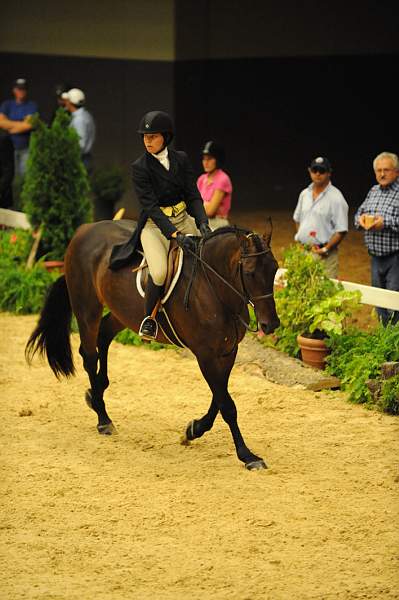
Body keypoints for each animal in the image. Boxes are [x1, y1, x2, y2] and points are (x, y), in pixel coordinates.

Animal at [25, 220, 282, 468]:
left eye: (274, 269)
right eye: (250, 273)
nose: (271, 325)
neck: (214, 287)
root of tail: (84, 230)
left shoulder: (227, 351)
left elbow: (219, 399)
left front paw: (193, 430)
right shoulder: (205, 354)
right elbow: (226, 404)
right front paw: (247, 456)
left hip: (123, 313)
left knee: (104, 336)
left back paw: (95, 394)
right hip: (87, 308)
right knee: (89, 355)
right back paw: (102, 416)